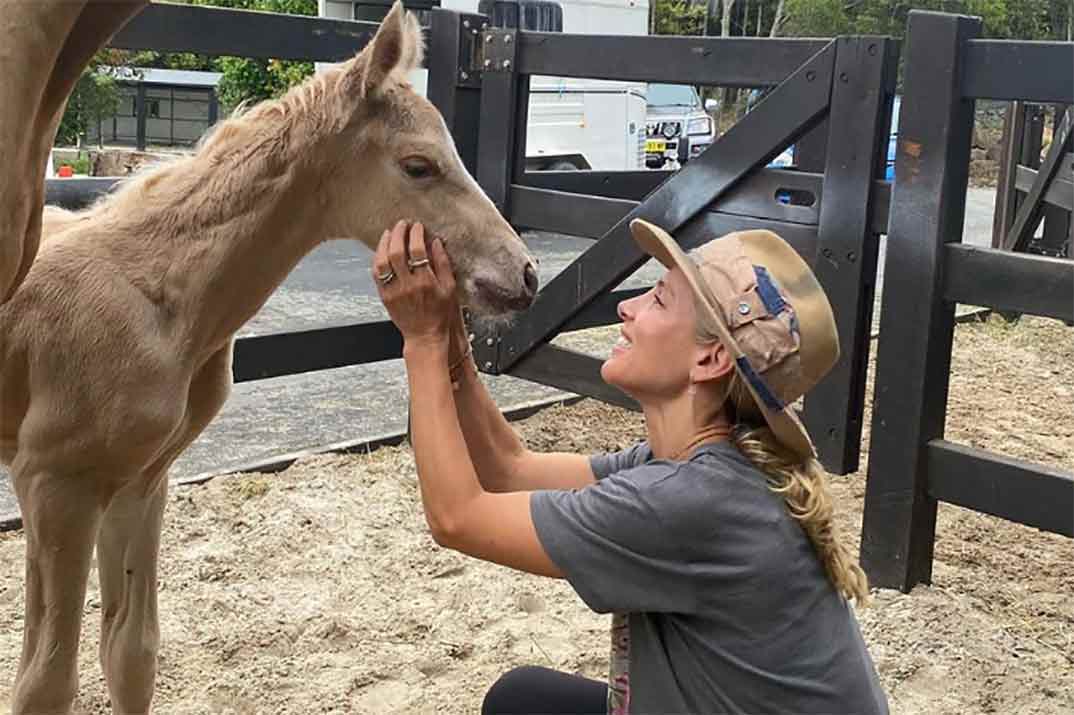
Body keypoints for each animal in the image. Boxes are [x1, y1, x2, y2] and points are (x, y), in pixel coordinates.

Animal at [0, 2, 537, 708]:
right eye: (419, 165)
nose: (525, 274)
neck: (158, 294)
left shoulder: (141, 479)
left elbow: (131, 653)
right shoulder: (55, 483)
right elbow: (45, 683)